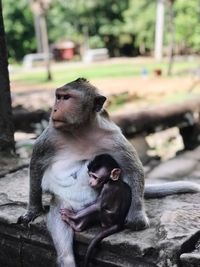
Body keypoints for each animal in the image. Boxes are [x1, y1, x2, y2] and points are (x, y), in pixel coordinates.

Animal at [19, 78, 200, 267]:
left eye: (66, 98)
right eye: (58, 97)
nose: (54, 109)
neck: (81, 130)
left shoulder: (113, 136)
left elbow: (132, 167)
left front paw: (136, 218)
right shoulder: (51, 135)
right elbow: (37, 163)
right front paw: (33, 211)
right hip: (65, 203)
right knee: (63, 233)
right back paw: (68, 249)